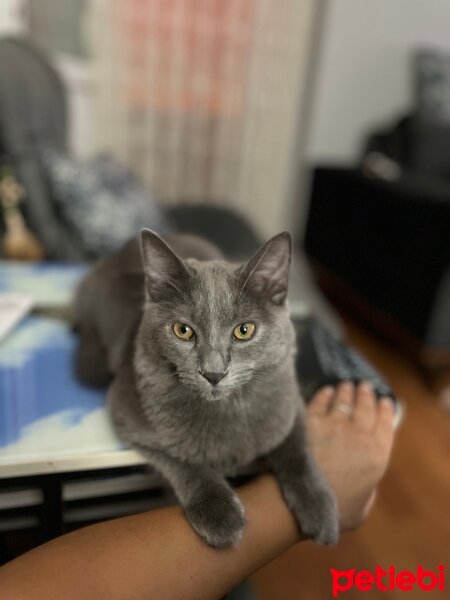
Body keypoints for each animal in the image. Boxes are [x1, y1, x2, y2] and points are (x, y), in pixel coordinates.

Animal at [74, 230, 338, 548]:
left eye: (244, 330)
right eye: (183, 331)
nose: (214, 372)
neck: (228, 408)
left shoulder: (289, 399)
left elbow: (296, 449)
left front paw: (321, 509)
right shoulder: (125, 413)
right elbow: (181, 460)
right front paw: (220, 514)